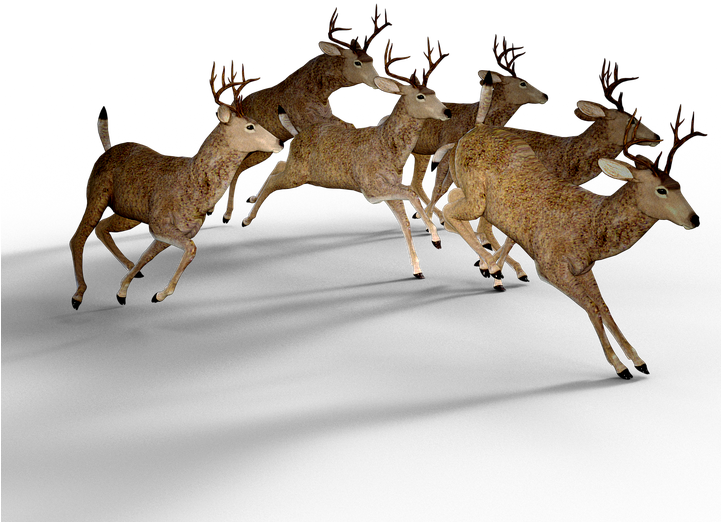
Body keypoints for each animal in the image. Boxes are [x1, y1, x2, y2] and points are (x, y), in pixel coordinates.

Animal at [69, 62, 283, 302]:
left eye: (255, 122)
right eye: (250, 127)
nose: (278, 142)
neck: (195, 189)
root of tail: (106, 152)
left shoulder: (174, 229)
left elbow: (147, 254)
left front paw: (124, 286)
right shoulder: (158, 222)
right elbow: (190, 249)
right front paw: (163, 292)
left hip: (129, 213)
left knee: (102, 227)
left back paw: (126, 264)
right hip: (97, 193)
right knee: (78, 236)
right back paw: (79, 290)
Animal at [222, 8, 386, 220]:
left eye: (371, 59)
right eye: (357, 62)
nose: (378, 81)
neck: (318, 93)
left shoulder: (327, 120)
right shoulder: (308, 124)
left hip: (263, 150)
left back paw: (251, 199)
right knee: (238, 168)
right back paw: (229, 211)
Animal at [242, 40, 452, 278]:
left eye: (434, 91)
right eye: (420, 96)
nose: (447, 112)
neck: (390, 151)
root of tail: (297, 135)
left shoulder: (390, 189)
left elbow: (405, 222)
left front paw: (418, 266)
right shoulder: (370, 188)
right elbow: (410, 193)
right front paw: (434, 233)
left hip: (298, 169)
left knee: (278, 165)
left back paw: (252, 200)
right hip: (298, 174)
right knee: (273, 180)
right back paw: (248, 217)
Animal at [440, 73, 699, 373]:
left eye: (679, 185)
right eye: (661, 190)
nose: (693, 217)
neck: (591, 226)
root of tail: (477, 128)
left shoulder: (584, 268)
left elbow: (604, 307)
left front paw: (634, 356)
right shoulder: (550, 266)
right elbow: (591, 307)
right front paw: (617, 362)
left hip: (475, 195)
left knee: (454, 206)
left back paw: (492, 262)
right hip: (476, 197)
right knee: (449, 210)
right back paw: (491, 264)